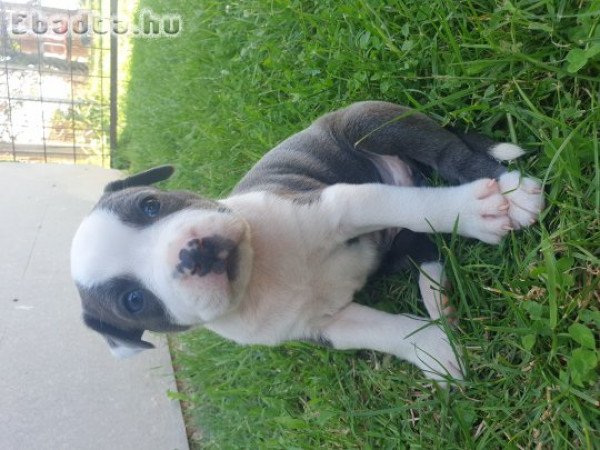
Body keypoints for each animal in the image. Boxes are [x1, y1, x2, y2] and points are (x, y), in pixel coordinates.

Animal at [71, 101, 544, 384]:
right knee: (426, 251)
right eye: (134, 301)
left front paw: (477, 213)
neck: (259, 270)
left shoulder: (345, 203)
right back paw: (439, 304)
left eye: (150, 205)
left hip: (370, 124)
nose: (191, 252)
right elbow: (387, 332)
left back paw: (511, 189)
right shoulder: (326, 326)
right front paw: (434, 351)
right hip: (396, 246)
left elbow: (412, 206)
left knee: (448, 154)